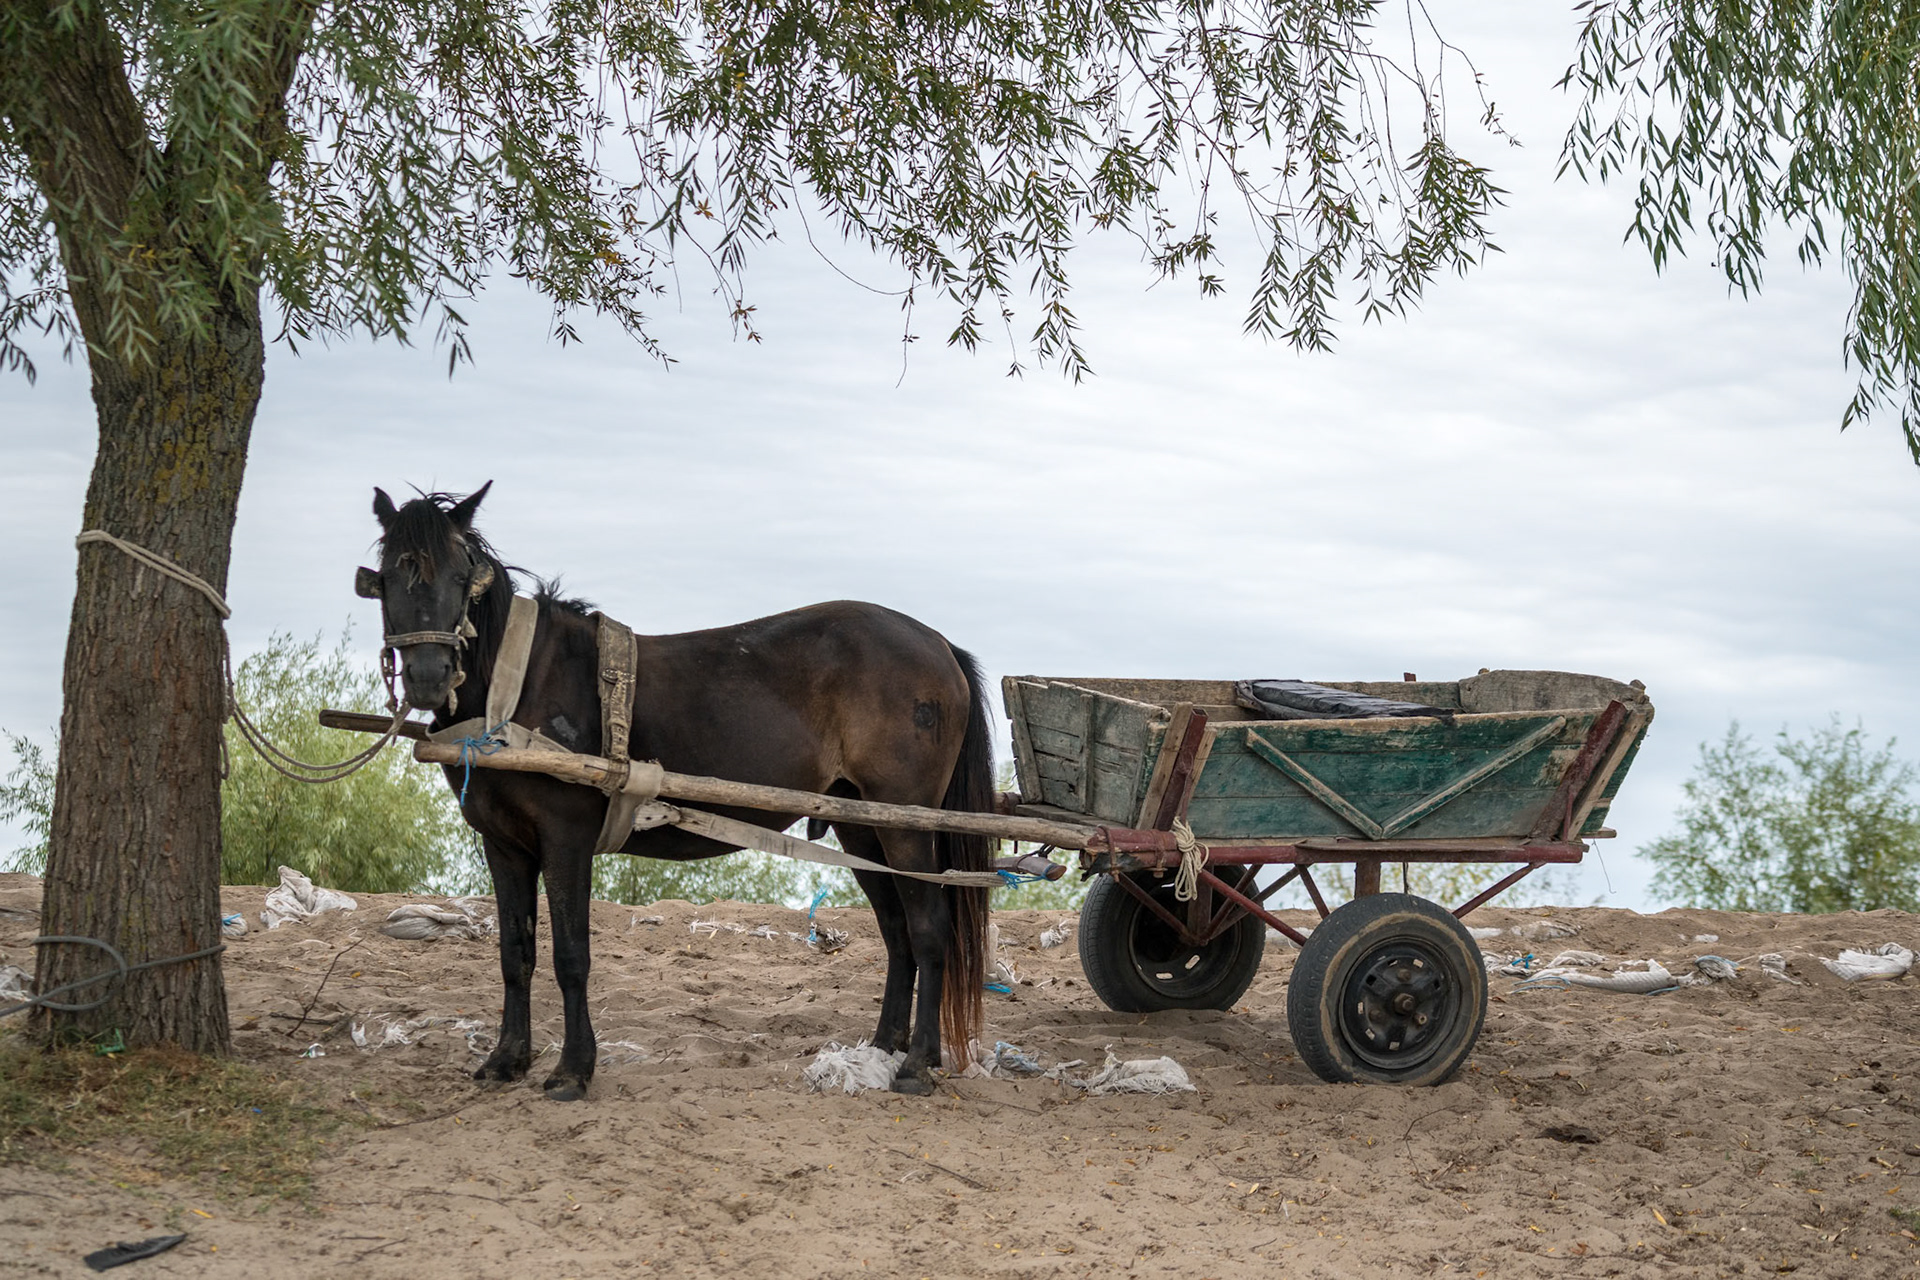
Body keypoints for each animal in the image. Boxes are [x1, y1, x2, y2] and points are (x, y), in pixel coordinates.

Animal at [359, 483, 992, 1098]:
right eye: (386, 575)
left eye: (462, 575)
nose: (429, 677)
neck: (518, 689)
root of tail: (938, 643)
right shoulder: (505, 845)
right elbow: (515, 954)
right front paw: (506, 1059)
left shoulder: (565, 839)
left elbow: (570, 955)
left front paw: (573, 1070)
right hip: (861, 822)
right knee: (898, 933)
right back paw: (887, 1047)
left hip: (904, 822)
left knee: (928, 930)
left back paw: (917, 1064)